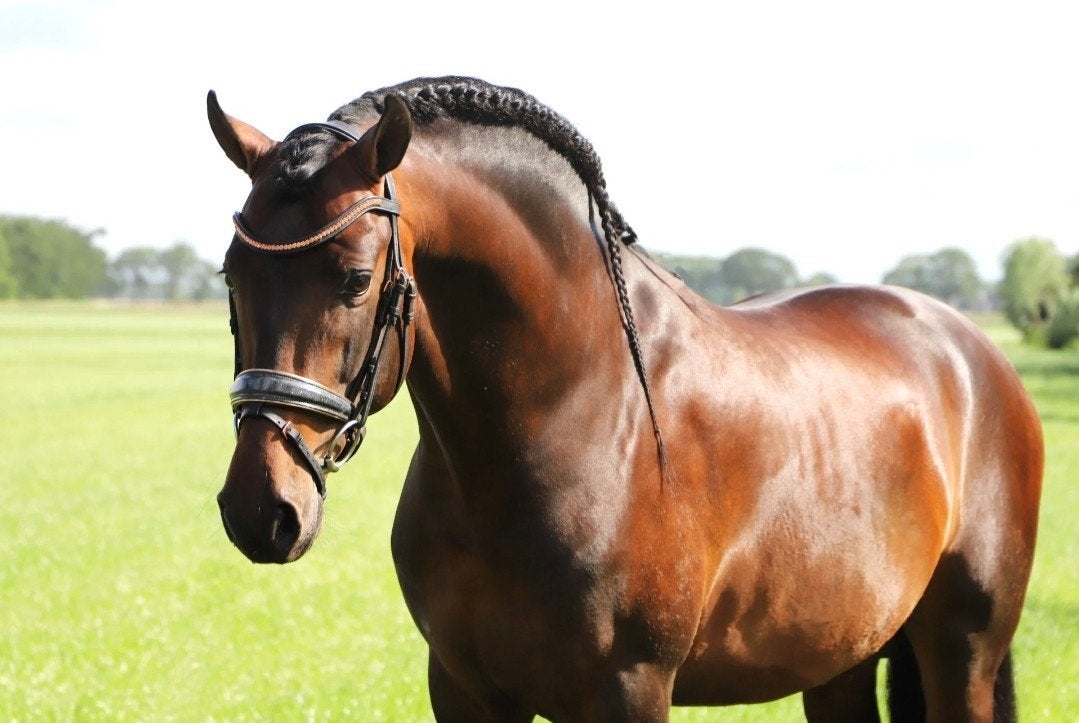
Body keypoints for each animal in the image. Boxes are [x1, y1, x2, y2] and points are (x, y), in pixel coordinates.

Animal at [209, 77, 1042, 722]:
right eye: (230, 274)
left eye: (354, 278)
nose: (262, 509)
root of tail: (971, 352)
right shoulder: (462, 686)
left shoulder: (627, 689)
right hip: (840, 657)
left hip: (962, 647)